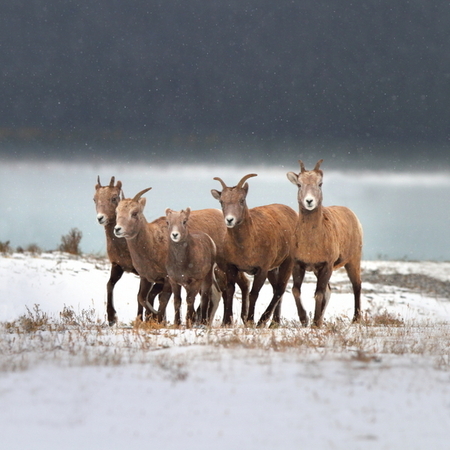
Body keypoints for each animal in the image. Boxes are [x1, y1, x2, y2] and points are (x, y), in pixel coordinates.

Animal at [93, 174, 160, 326]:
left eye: (114, 198)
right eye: (94, 199)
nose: (101, 218)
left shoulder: (143, 274)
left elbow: (139, 296)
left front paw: (139, 320)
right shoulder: (117, 266)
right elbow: (109, 285)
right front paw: (112, 318)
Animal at [212, 173, 298, 326]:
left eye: (242, 200)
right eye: (222, 202)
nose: (230, 220)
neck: (246, 246)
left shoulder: (261, 270)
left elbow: (254, 294)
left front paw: (251, 321)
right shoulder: (231, 267)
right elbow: (230, 291)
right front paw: (227, 322)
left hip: (287, 263)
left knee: (280, 289)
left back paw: (264, 322)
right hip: (273, 269)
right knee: (276, 289)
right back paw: (274, 323)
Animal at [286, 160, 364, 326]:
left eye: (320, 183)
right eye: (299, 184)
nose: (309, 201)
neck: (311, 245)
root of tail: (353, 215)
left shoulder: (326, 266)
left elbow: (319, 293)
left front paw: (315, 323)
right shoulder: (298, 264)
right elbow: (296, 290)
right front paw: (305, 319)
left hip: (353, 260)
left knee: (357, 285)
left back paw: (356, 319)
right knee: (330, 290)